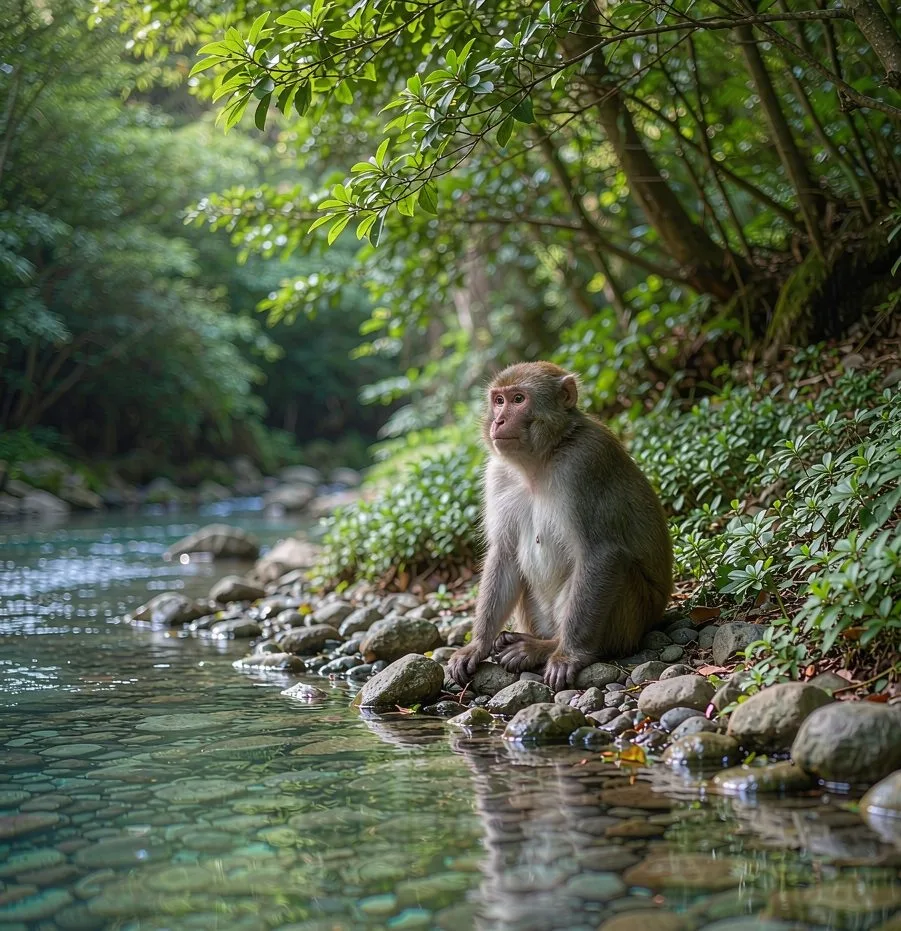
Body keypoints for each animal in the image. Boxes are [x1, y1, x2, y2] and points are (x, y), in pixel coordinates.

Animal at [447, 361, 672, 693]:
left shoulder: (585, 463)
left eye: (518, 399)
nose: (499, 420)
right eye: (499, 401)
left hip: (636, 617)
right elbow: (504, 553)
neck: (539, 463)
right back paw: (522, 638)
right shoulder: (497, 474)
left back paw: (544, 647)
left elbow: (601, 553)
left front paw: (568, 655)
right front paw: (477, 645)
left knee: (619, 571)